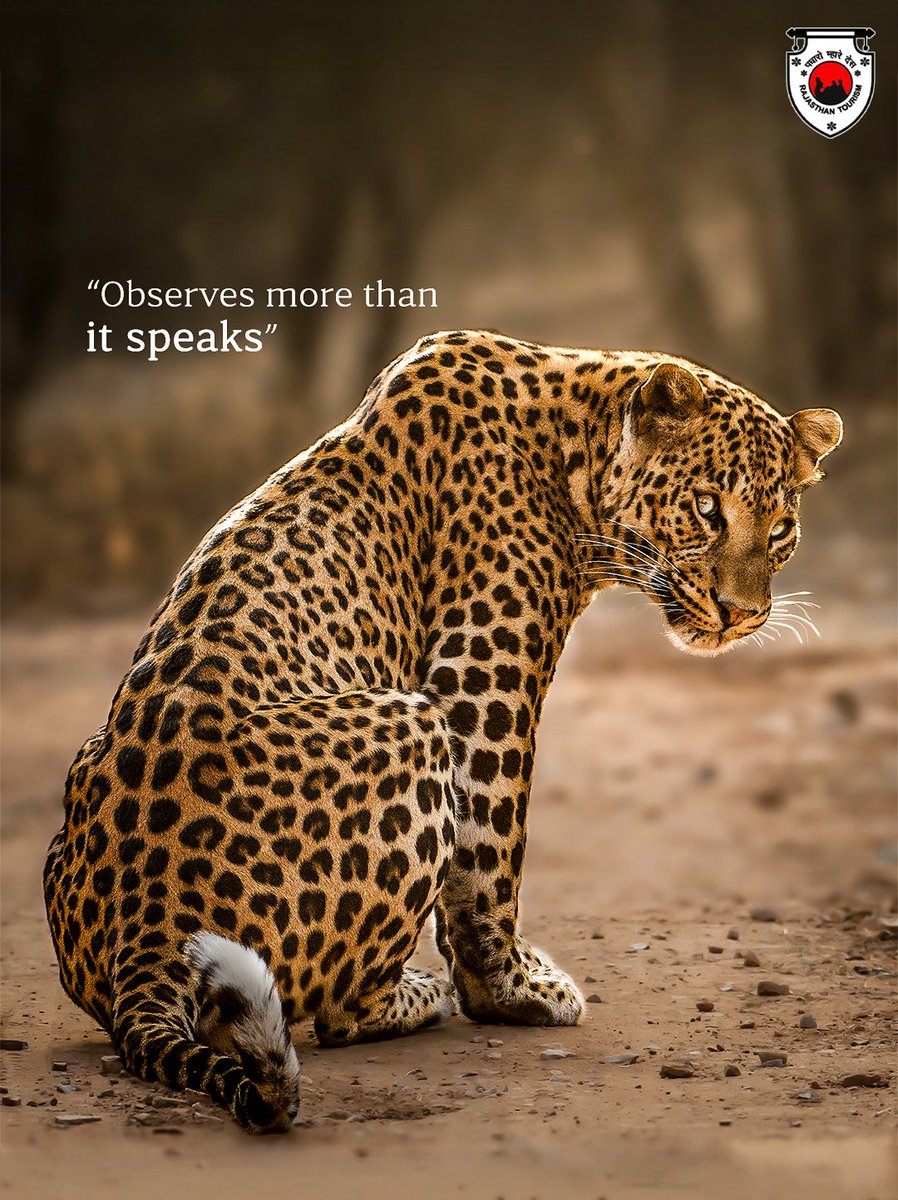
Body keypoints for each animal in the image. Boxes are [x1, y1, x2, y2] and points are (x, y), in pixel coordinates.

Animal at [43, 329, 842, 1132]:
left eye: (780, 531)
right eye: (707, 508)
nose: (741, 614)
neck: (575, 441)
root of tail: (146, 935)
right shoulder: (478, 686)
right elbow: (491, 854)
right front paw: (512, 992)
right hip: (411, 721)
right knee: (337, 1012)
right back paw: (423, 994)